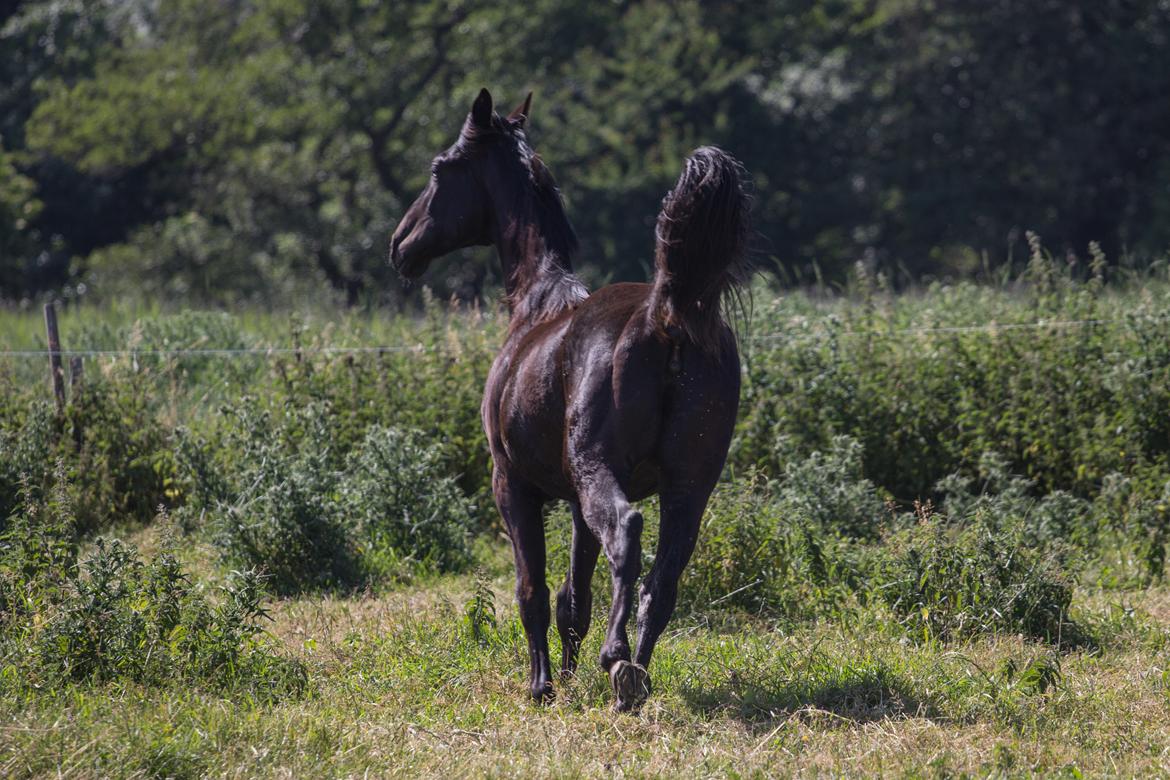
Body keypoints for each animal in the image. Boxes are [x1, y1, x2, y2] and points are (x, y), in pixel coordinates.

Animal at [388, 88, 744, 711]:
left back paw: (617, 660)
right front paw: (571, 677)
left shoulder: (512, 485)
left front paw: (543, 686)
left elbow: (531, 589)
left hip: (602, 474)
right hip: (690, 487)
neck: (538, 306)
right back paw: (635, 678)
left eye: (439, 168)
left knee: (626, 534)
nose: (398, 245)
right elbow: (573, 597)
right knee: (663, 581)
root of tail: (666, 316)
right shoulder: (576, 504)